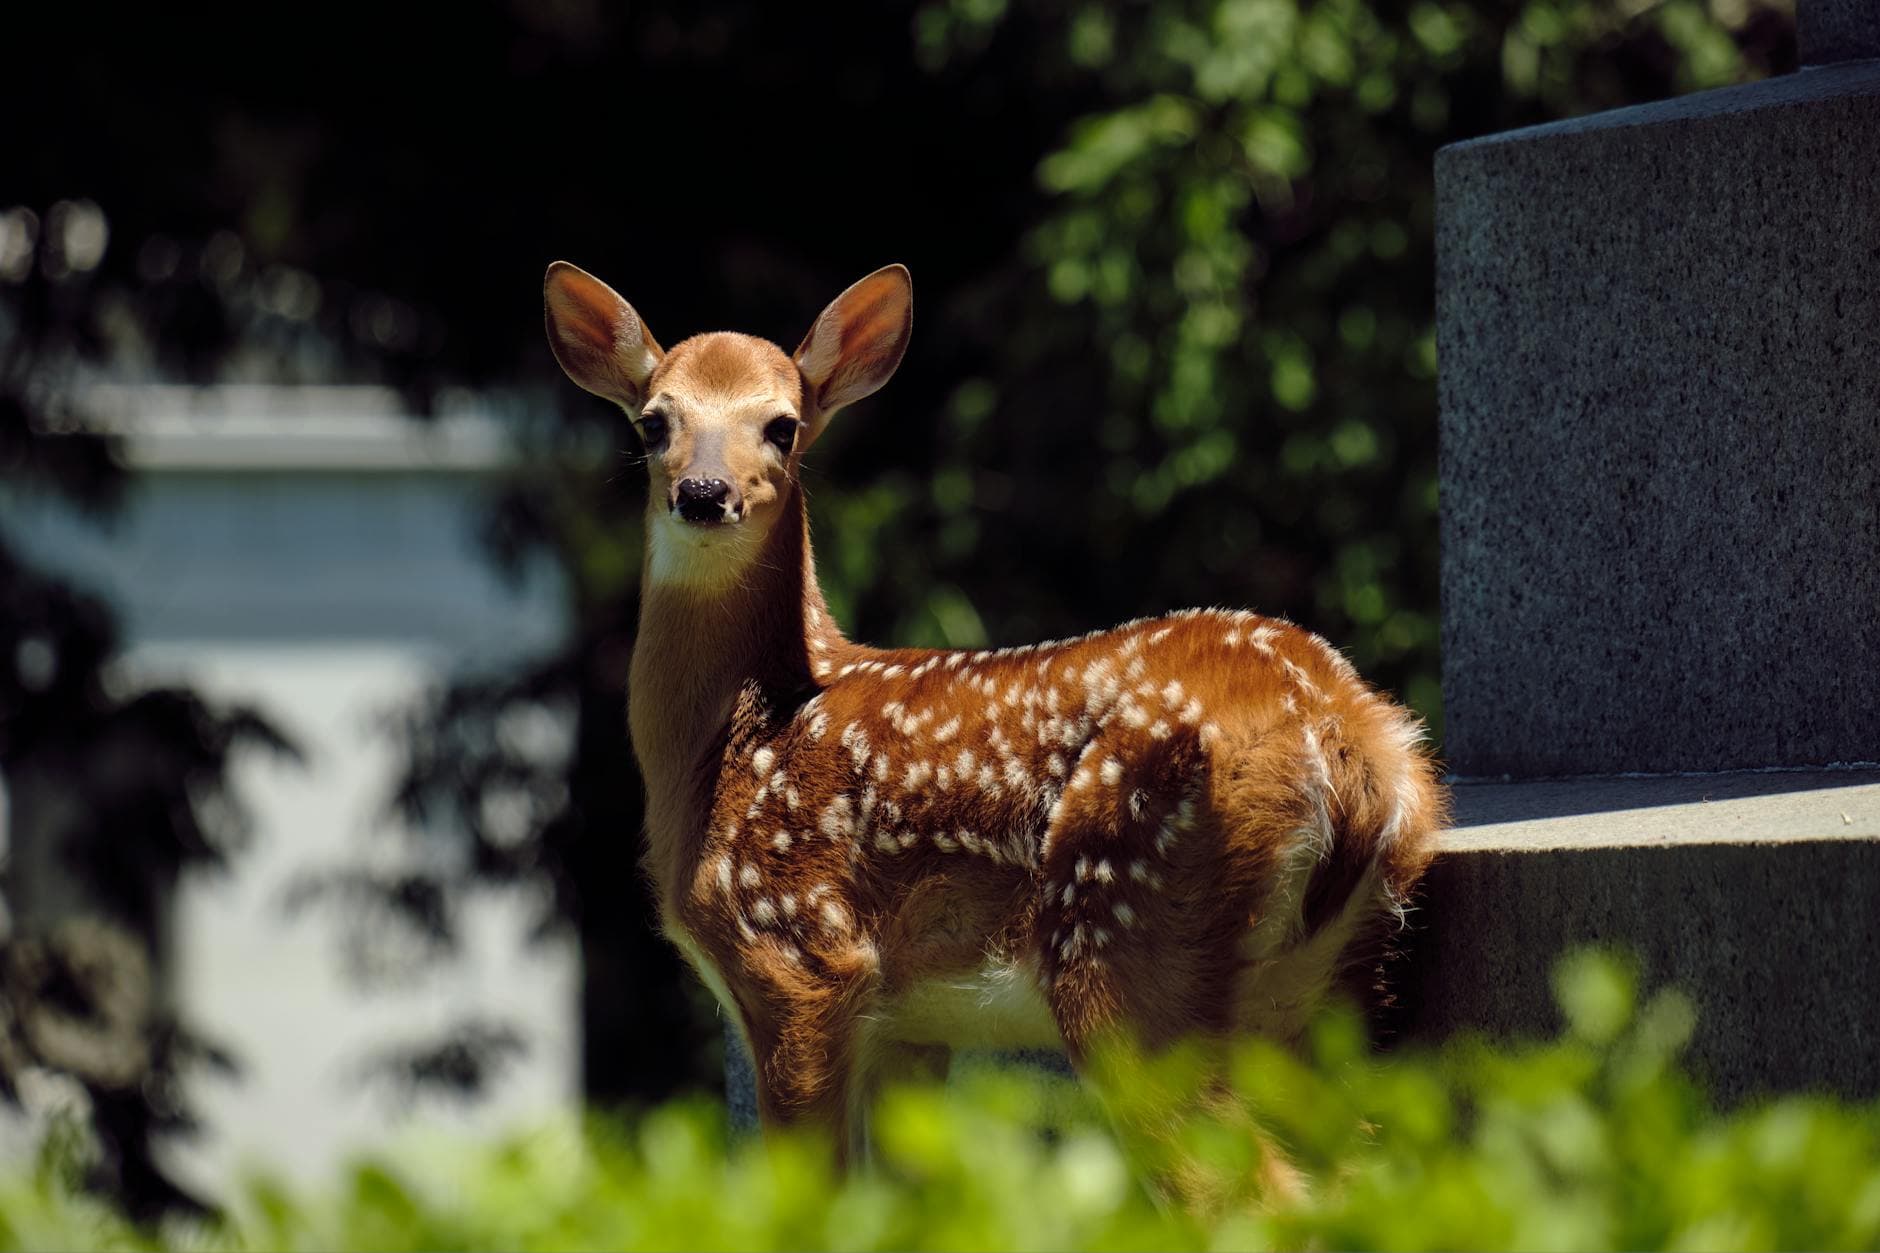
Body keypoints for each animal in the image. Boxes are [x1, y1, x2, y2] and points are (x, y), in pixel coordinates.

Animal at [542, 260, 1445, 1186]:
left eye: (782, 426)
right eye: (656, 421)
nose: (702, 493)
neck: (736, 739)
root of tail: (1352, 743)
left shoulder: (797, 954)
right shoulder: (910, 1023)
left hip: (1126, 936)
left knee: (1250, 1185)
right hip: (1324, 983)